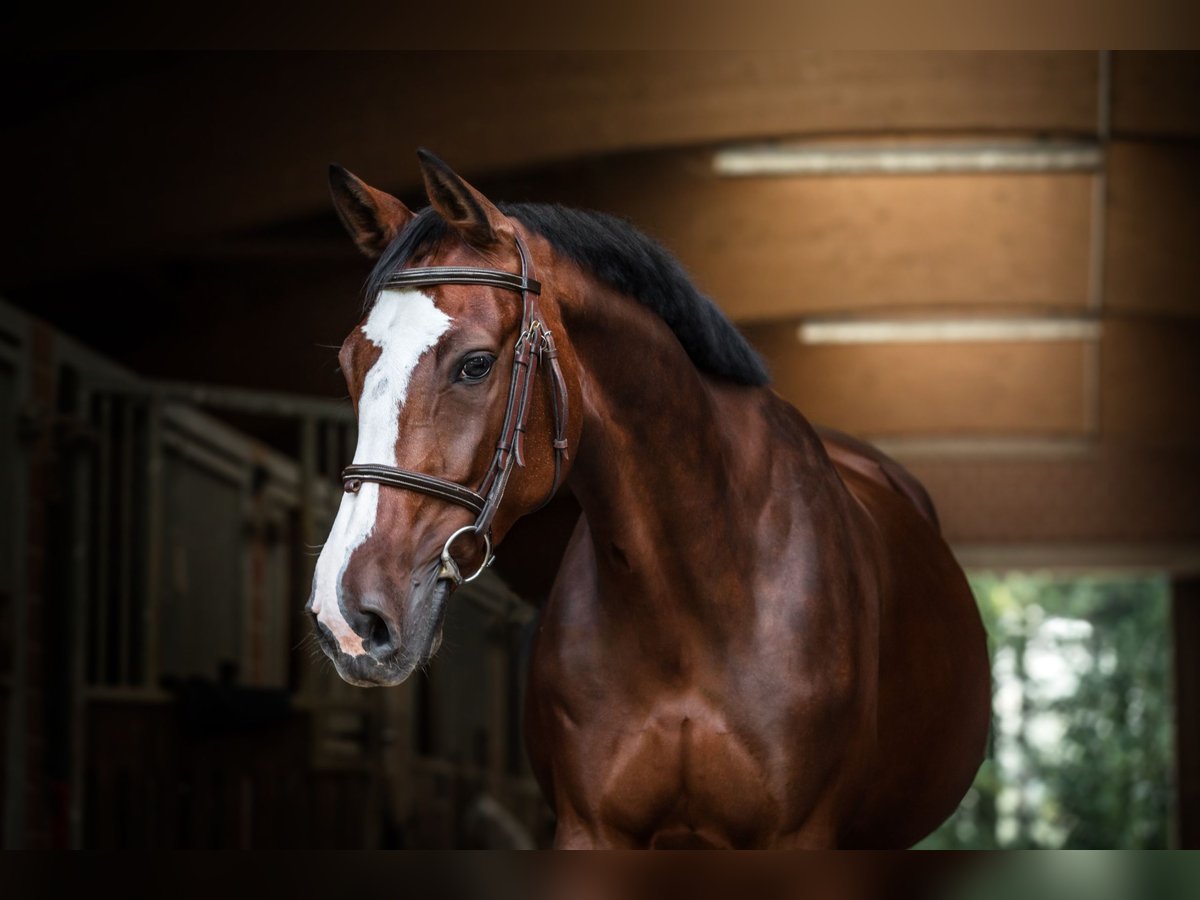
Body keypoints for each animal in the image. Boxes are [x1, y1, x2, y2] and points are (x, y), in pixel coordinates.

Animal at [309, 151, 993, 849]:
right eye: (349, 365)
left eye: (474, 364)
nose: (348, 616)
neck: (693, 605)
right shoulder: (589, 831)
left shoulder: (798, 837)